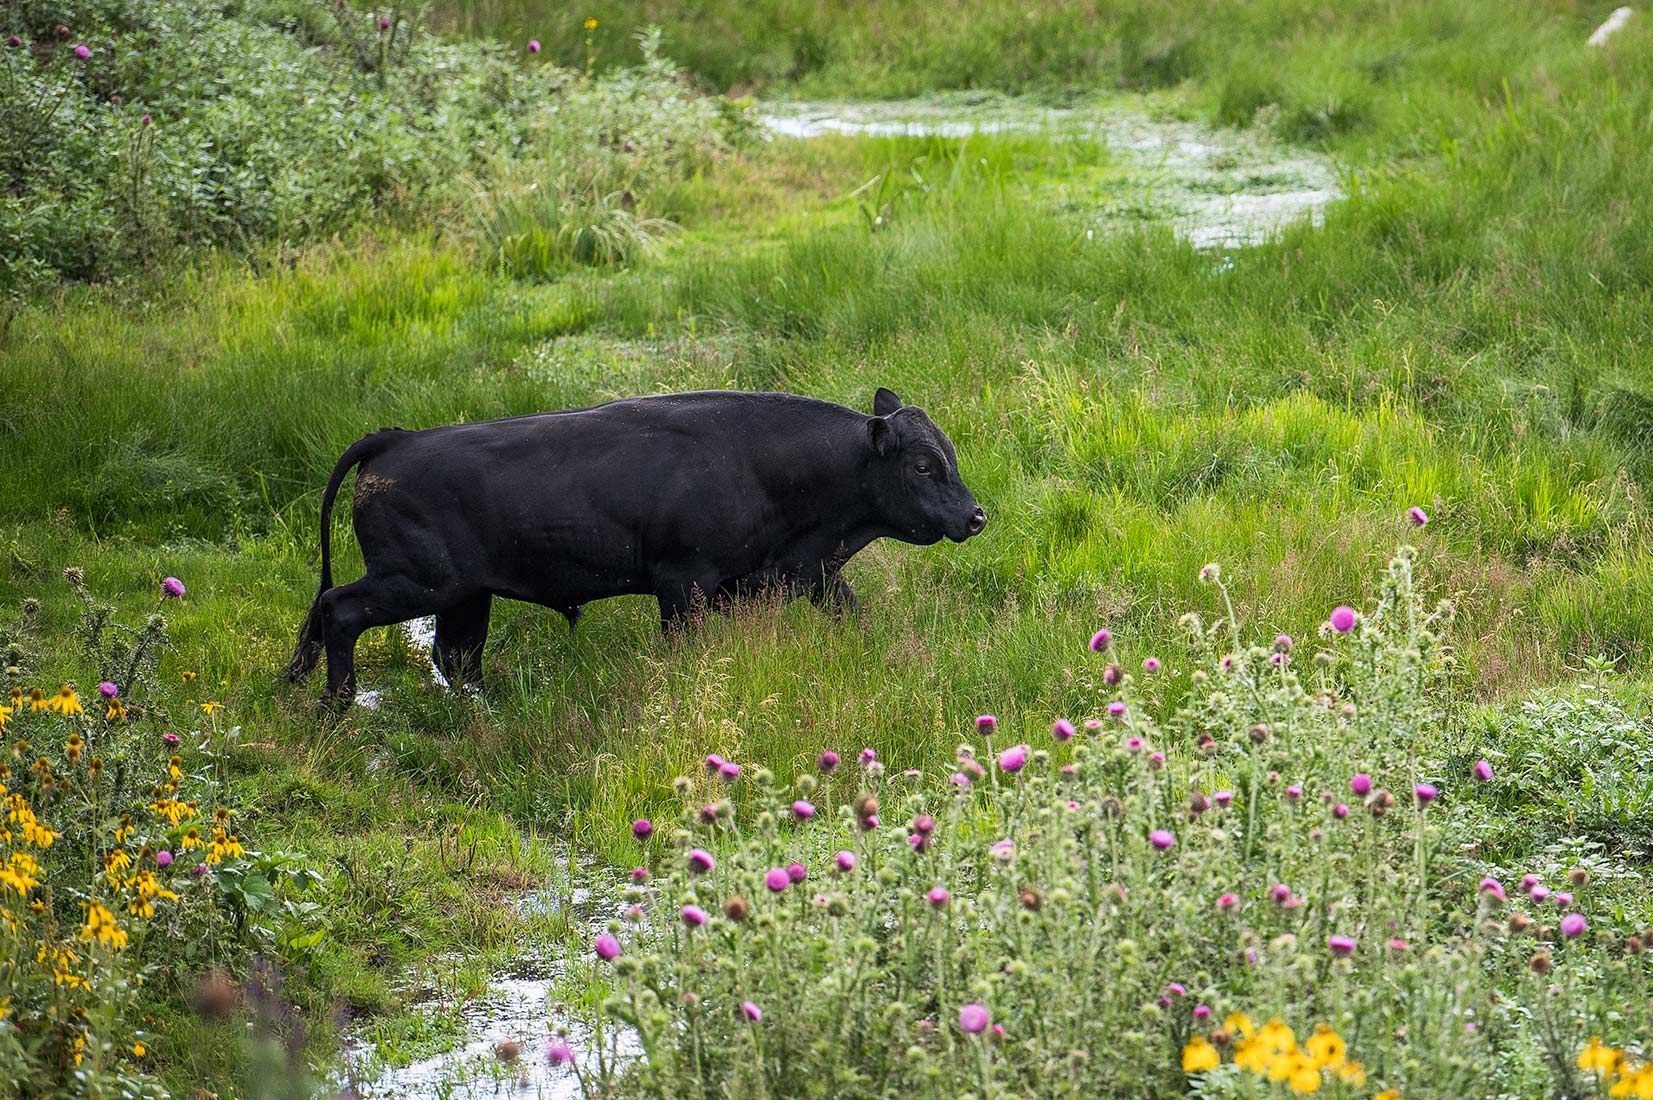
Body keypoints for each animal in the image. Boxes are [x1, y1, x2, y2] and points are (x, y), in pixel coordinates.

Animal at [286, 388, 987, 707]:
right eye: (924, 465)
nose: (975, 516)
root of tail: (395, 439)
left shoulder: (798, 574)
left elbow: (850, 611)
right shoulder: (684, 585)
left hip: (464, 596)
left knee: (454, 656)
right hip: (413, 583)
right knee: (339, 609)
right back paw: (336, 704)